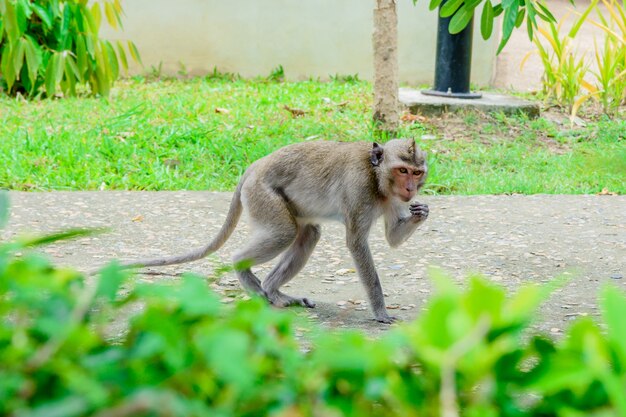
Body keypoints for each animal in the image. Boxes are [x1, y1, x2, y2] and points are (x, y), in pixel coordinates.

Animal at [119, 138, 426, 324]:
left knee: (308, 234)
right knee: (284, 233)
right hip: (262, 195)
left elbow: (392, 237)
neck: (377, 179)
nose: (411, 188)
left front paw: (420, 213)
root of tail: (254, 166)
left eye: (417, 172)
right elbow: (356, 243)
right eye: (402, 170)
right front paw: (381, 311)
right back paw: (245, 273)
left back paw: (274, 291)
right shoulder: (359, 189)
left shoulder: (394, 199)